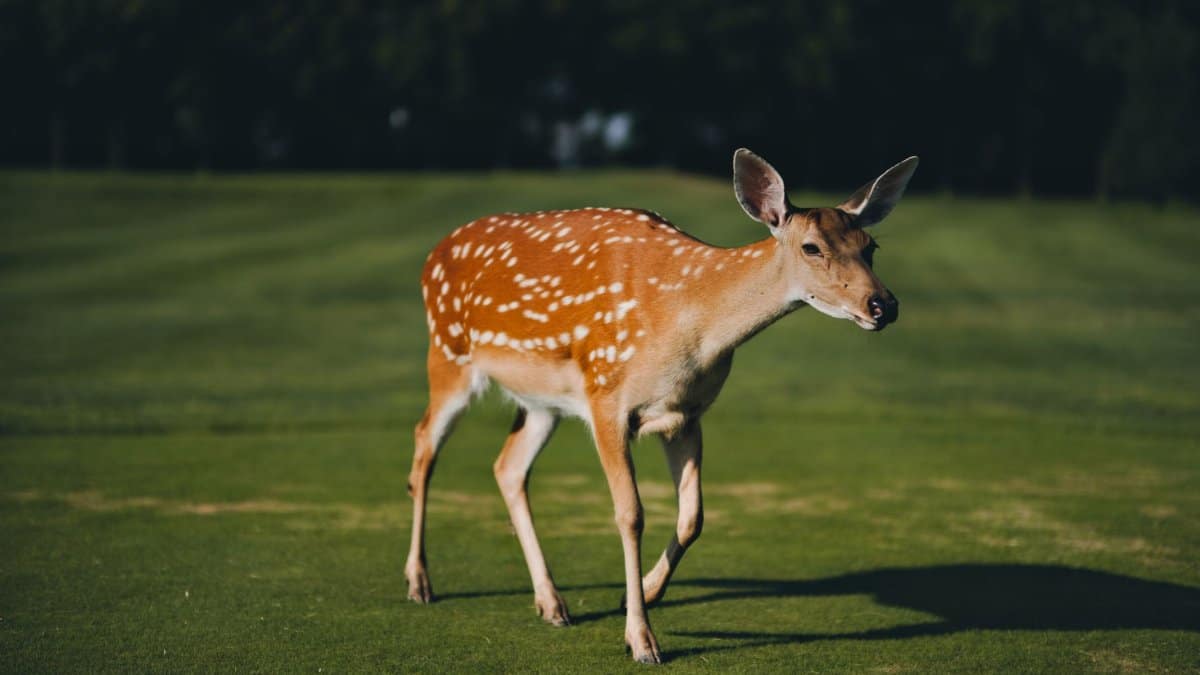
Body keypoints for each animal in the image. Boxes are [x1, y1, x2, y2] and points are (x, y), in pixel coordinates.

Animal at [405, 148, 918, 664]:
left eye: (870, 245)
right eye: (812, 247)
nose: (883, 305)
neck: (688, 326)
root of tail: (432, 254)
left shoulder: (686, 413)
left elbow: (693, 517)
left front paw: (645, 594)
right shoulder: (606, 396)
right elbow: (630, 514)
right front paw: (641, 639)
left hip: (541, 403)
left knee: (507, 467)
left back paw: (551, 603)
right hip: (448, 353)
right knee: (425, 445)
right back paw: (419, 582)